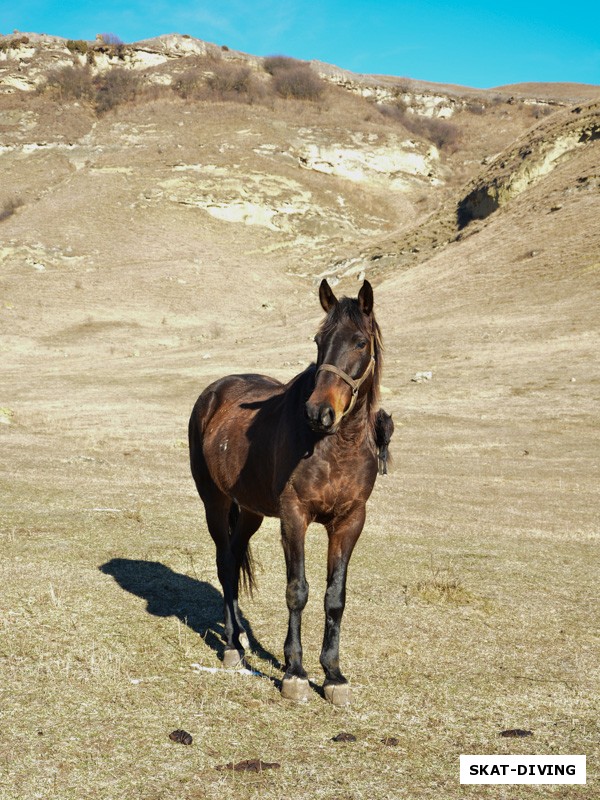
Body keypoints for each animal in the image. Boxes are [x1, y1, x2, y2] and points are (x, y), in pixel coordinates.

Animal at [188, 280, 384, 708]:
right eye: (318, 340)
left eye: (360, 342)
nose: (318, 412)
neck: (335, 445)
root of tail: (213, 392)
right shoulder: (295, 517)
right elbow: (298, 591)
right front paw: (295, 672)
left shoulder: (350, 522)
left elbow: (335, 597)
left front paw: (333, 675)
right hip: (215, 502)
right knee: (225, 562)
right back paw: (232, 645)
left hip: (251, 511)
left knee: (235, 556)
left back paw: (242, 635)